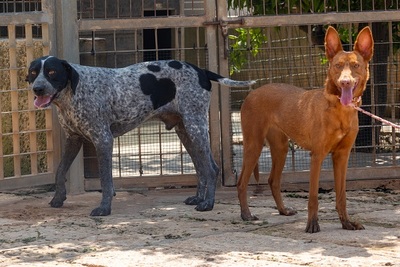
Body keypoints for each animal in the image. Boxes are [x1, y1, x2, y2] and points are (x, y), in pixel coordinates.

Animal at [26, 57, 255, 218]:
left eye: (52, 72)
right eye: (34, 72)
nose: (37, 89)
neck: (72, 93)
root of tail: (201, 70)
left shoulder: (103, 140)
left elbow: (106, 182)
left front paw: (104, 208)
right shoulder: (73, 139)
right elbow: (59, 171)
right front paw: (58, 199)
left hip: (195, 126)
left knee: (211, 168)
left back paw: (207, 204)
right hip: (185, 131)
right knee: (201, 168)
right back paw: (199, 198)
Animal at [236, 26, 374, 233]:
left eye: (356, 66)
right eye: (337, 66)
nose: (345, 82)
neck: (339, 110)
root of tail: (252, 93)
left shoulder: (342, 156)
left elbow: (341, 195)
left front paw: (346, 222)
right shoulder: (317, 155)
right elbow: (313, 196)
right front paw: (312, 224)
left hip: (281, 148)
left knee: (273, 181)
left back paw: (283, 211)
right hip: (254, 144)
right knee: (242, 182)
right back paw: (246, 214)